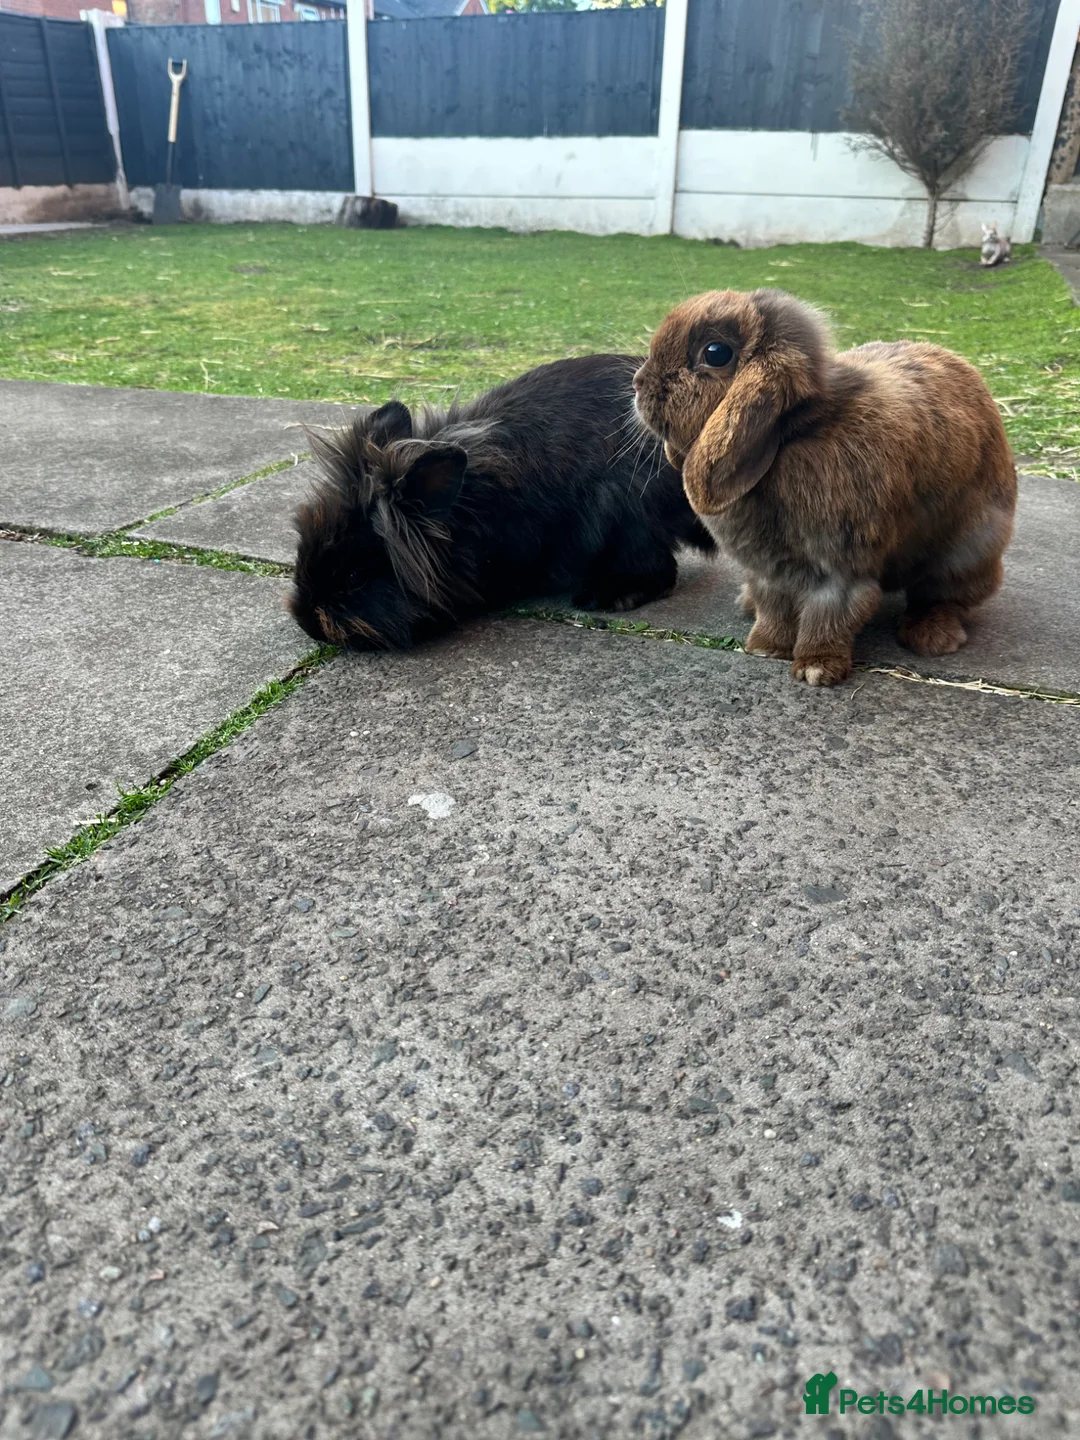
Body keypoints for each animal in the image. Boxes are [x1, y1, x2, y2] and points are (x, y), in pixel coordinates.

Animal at [290, 353, 714, 650]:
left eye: (355, 578)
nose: (307, 623)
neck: (466, 511)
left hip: (626, 522)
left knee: (657, 570)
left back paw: (606, 597)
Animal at [632, 288, 1016, 687]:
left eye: (715, 353)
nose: (639, 383)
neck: (792, 433)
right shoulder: (770, 571)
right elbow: (774, 607)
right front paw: (766, 647)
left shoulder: (839, 569)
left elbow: (829, 615)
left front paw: (816, 669)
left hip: (966, 553)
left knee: (943, 597)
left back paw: (930, 637)